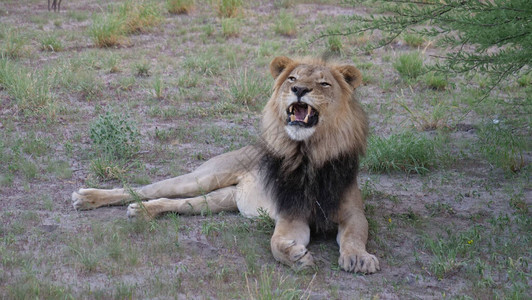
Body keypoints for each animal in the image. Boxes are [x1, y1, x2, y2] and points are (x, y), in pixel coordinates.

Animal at [72, 56, 380, 274]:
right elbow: (276, 243)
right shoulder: (291, 216)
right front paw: (295, 256)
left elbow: (355, 234)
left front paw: (358, 258)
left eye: (324, 83)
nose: (299, 89)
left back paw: (142, 211)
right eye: (292, 78)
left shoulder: (353, 212)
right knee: (147, 188)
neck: (310, 154)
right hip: (202, 178)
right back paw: (88, 197)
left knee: (175, 203)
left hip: (220, 200)